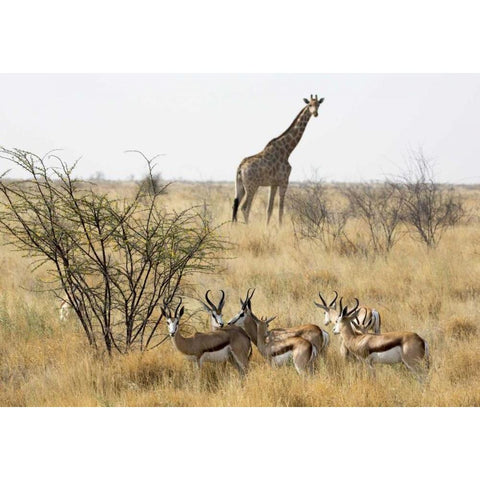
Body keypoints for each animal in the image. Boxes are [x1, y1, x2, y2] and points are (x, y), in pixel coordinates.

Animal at [232, 96, 324, 227]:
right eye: (310, 104)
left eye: (318, 105)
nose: (315, 113)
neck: (287, 151)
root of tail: (240, 168)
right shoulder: (284, 181)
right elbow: (281, 209)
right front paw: (280, 227)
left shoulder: (273, 183)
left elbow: (269, 209)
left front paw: (267, 227)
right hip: (252, 186)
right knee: (244, 208)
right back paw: (247, 227)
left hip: (240, 186)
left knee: (235, 206)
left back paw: (233, 227)